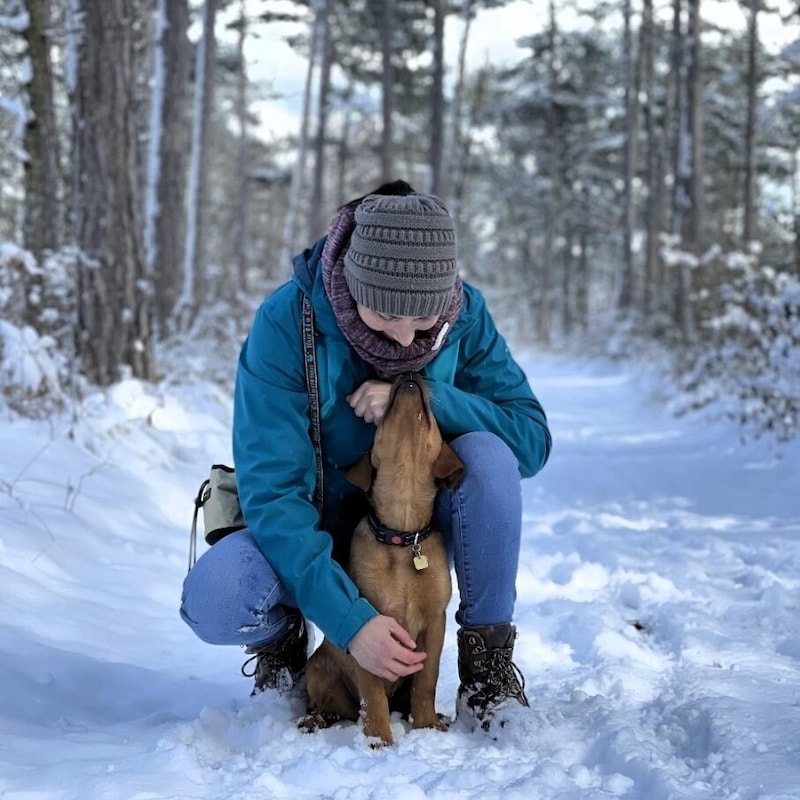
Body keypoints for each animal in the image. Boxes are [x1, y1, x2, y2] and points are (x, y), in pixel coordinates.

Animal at [298, 372, 462, 748]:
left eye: (432, 419)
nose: (410, 375)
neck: (402, 537)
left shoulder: (435, 622)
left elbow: (427, 681)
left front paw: (427, 725)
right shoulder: (373, 631)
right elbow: (372, 694)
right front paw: (379, 740)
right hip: (318, 670)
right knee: (336, 709)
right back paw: (313, 720)